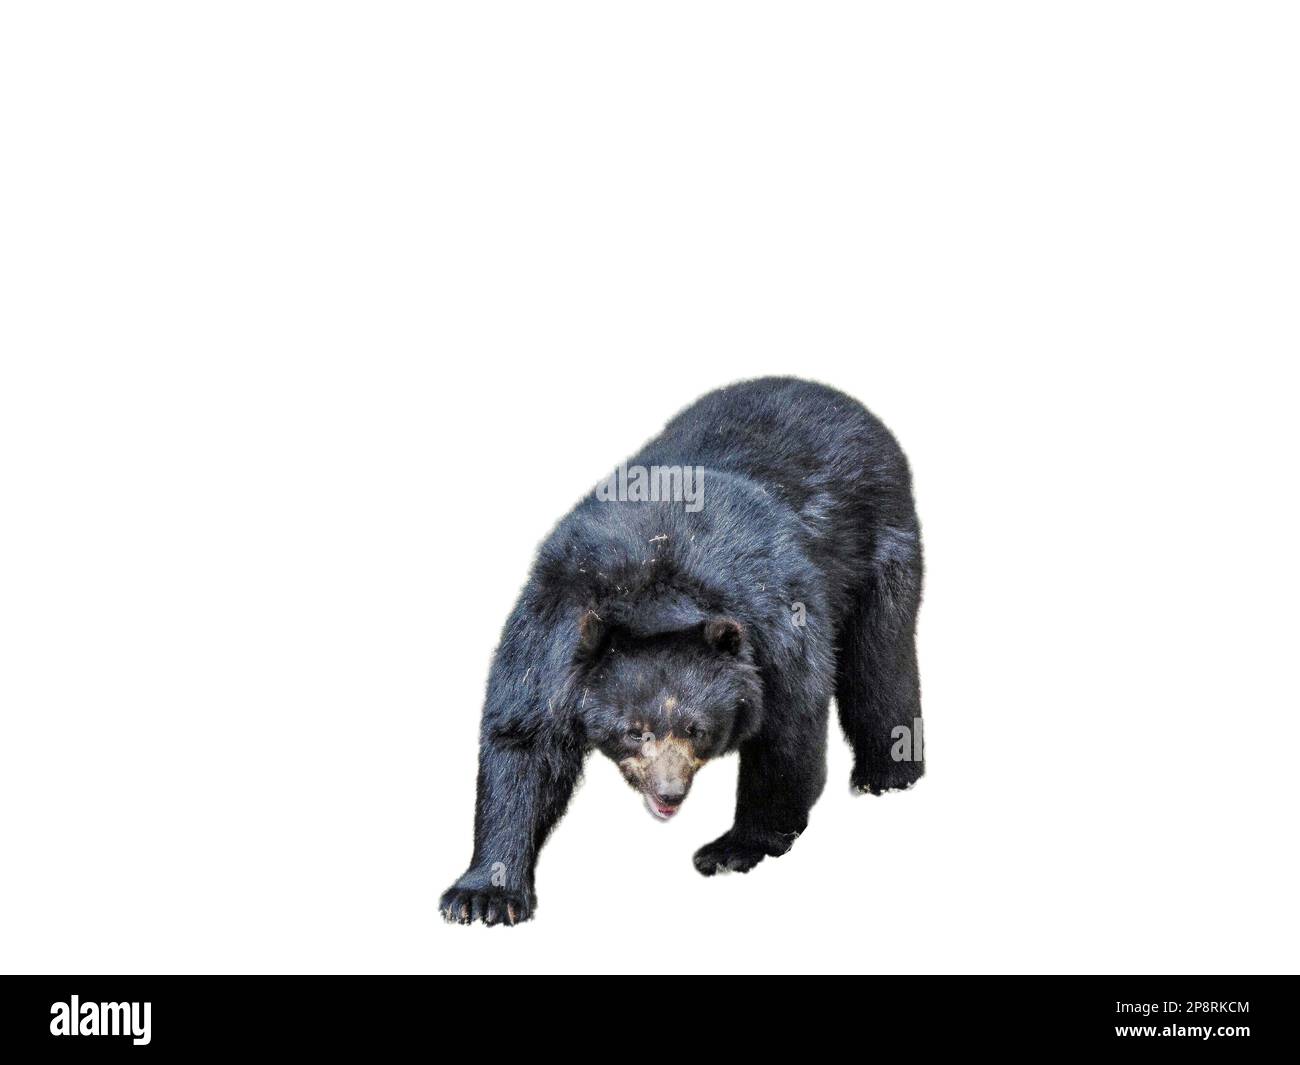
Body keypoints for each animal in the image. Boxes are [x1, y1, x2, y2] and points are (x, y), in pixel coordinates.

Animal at [440, 376, 923, 925]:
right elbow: (523, 739)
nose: (668, 793)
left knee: (880, 662)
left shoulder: (778, 619)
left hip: (882, 544)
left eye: (697, 728)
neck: (655, 591)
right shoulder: (552, 620)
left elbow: (788, 729)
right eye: (634, 731)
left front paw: (731, 848)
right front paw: (482, 895)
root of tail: (839, 398)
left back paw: (887, 775)